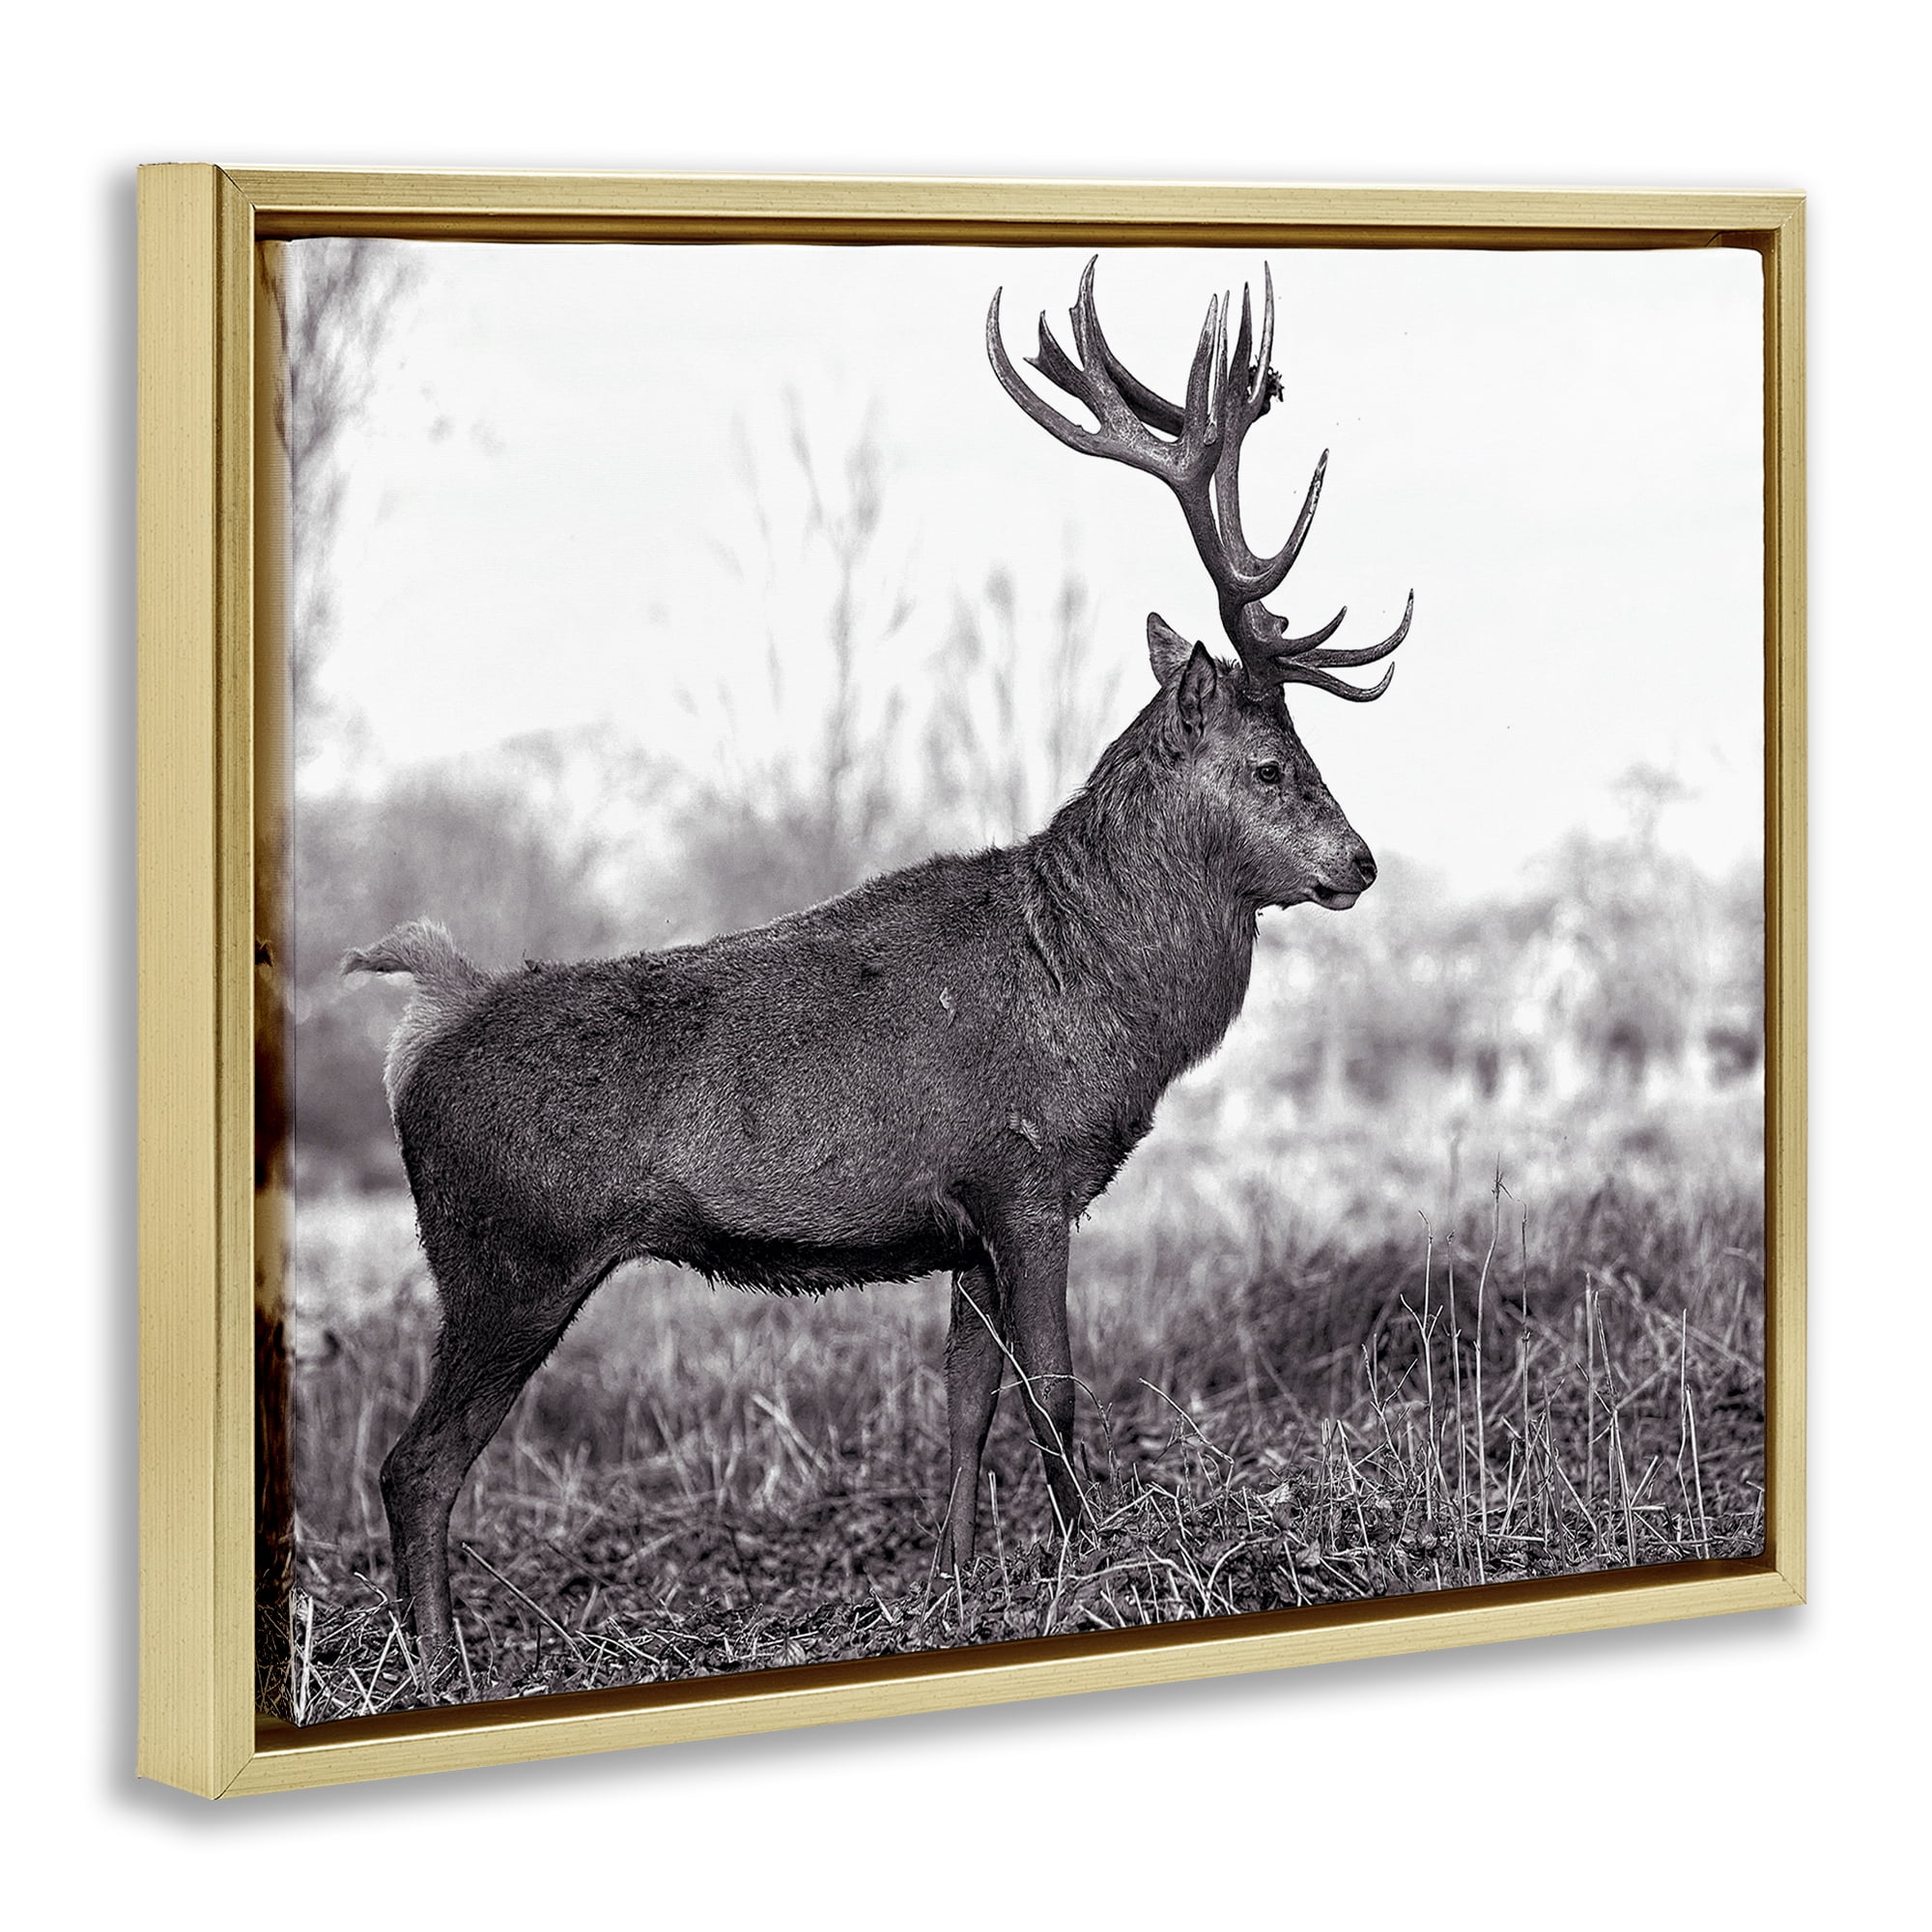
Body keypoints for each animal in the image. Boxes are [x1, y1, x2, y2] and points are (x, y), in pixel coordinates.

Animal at [344, 259, 1413, 1674]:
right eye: (1270, 765)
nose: (1359, 863)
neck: (1098, 995)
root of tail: (422, 1024)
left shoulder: (959, 1218)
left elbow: (963, 1400)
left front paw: (955, 1584)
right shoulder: (1025, 1174)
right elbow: (1053, 1388)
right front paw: (1094, 1564)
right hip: (505, 1255)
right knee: (414, 1465)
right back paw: (442, 1662)